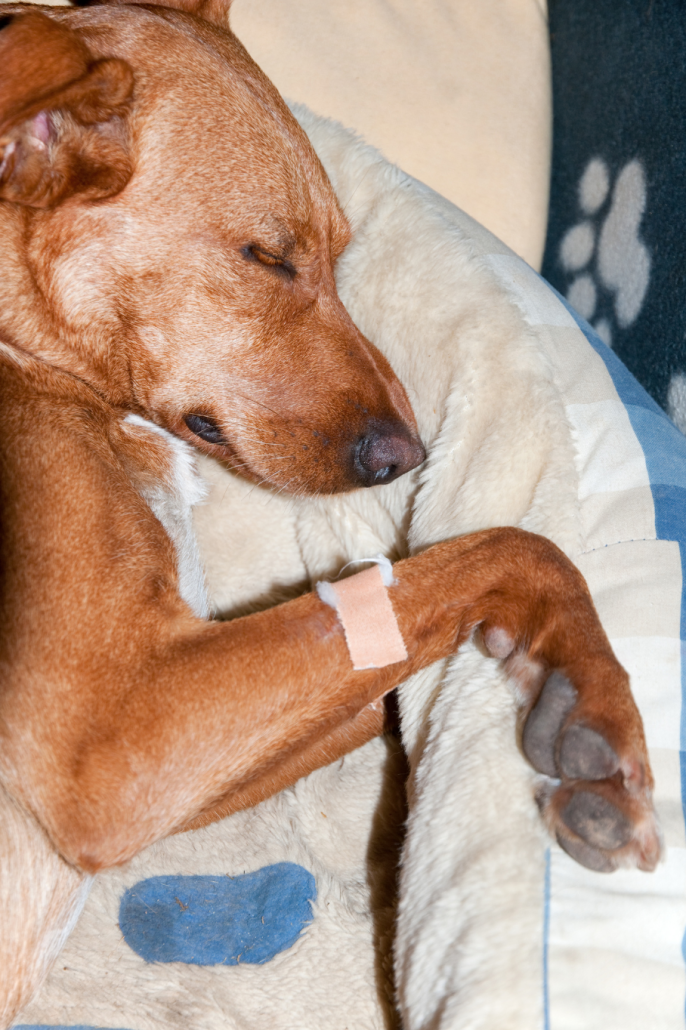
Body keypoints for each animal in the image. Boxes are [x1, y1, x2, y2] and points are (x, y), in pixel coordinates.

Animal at [0, 0, 659, 1021]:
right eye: (267, 257)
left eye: (342, 251)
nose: (409, 457)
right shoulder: (111, 736)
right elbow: (519, 544)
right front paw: (601, 710)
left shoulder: (175, 754)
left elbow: (385, 664)